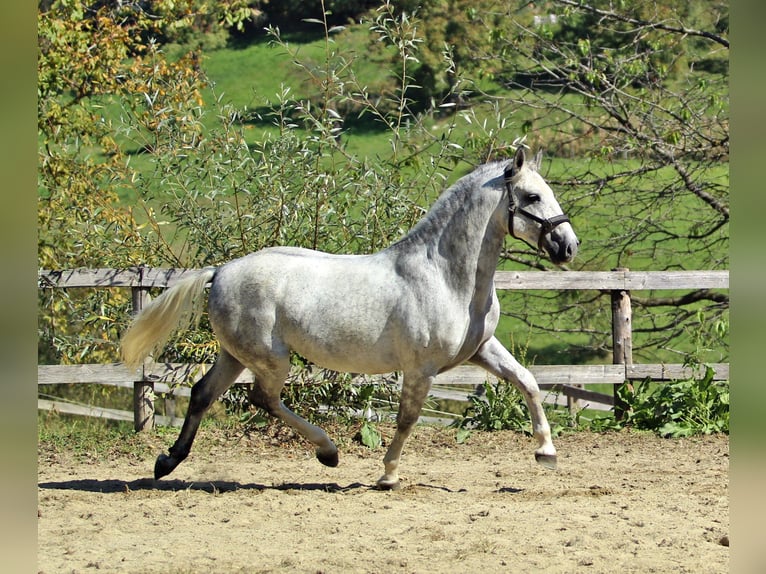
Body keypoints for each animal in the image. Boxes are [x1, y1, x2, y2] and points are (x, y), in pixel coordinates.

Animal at [121, 147, 576, 490]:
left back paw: (168, 461)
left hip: (235, 354)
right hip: (269, 358)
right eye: (532, 197)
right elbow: (407, 418)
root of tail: (219, 272)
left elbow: (528, 382)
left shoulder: (481, 350)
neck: (446, 276)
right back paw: (328, 452)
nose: (568, 246)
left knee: (203, 393)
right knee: (263, 399)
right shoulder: (421, 367)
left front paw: (546, 452)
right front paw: (388, 475)